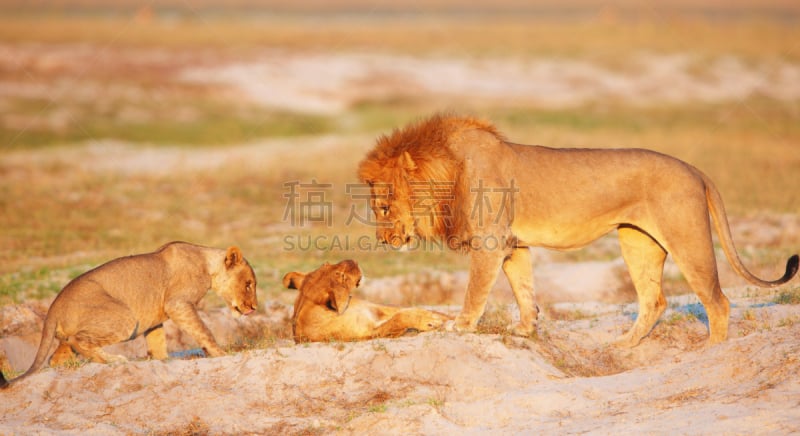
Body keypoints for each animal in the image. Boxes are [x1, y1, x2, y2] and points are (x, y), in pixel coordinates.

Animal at [0, 242, 256, 388]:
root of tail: (54, 305)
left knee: (57, 355)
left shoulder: (155, 319)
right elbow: (203, 331)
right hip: (125, 318)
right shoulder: (178, 303)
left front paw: (164, 362)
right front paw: (221, 354)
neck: (206, 263)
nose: (253, 308)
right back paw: (115, 360)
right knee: (79, 341)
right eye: (248, 284)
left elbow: (157, 344)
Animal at [286, 260, 450, 342]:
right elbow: (398, 319)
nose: (352, 260)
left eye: (326, 264)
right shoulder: (367, 334)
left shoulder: (376, 308)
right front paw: (430, 321)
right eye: (340, 275)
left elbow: (405, 311)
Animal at [360, 114, 796, 346]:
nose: (383, 240)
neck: (450, 171)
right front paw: (525, 328)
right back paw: (622, 347)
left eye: (382, 206)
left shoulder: (489, 243)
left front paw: (461, 325)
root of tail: (695, 169)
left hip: (687, 238)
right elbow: (524, 289)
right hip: (637, 241)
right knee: (654, 300)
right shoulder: (512, 245)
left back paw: (712, 351)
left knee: (718, 301)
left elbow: (475, 291)